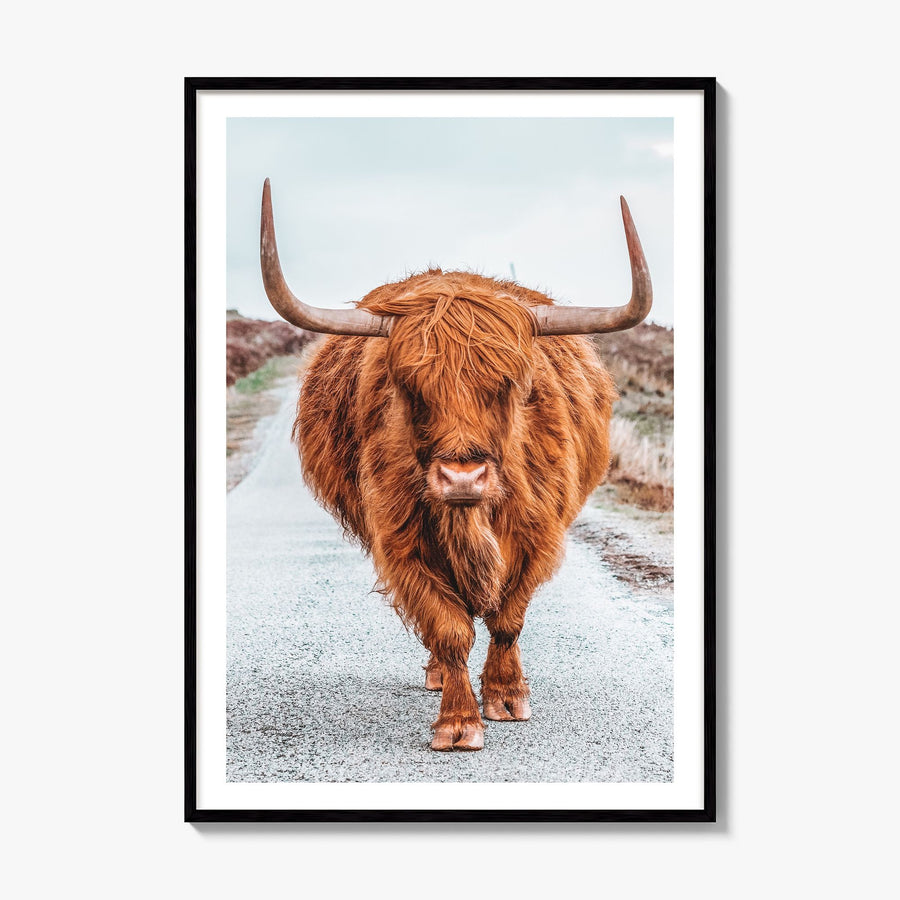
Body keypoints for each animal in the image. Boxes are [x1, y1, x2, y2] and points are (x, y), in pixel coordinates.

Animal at [259, 178, 652, 751]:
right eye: (408, 385)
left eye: (510, 383)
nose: (462, 477)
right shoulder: (402, 540)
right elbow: (447, 627)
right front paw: (459, 721)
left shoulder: (538, 534)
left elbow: (507, 618)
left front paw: (507, 697)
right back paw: (440, 675)